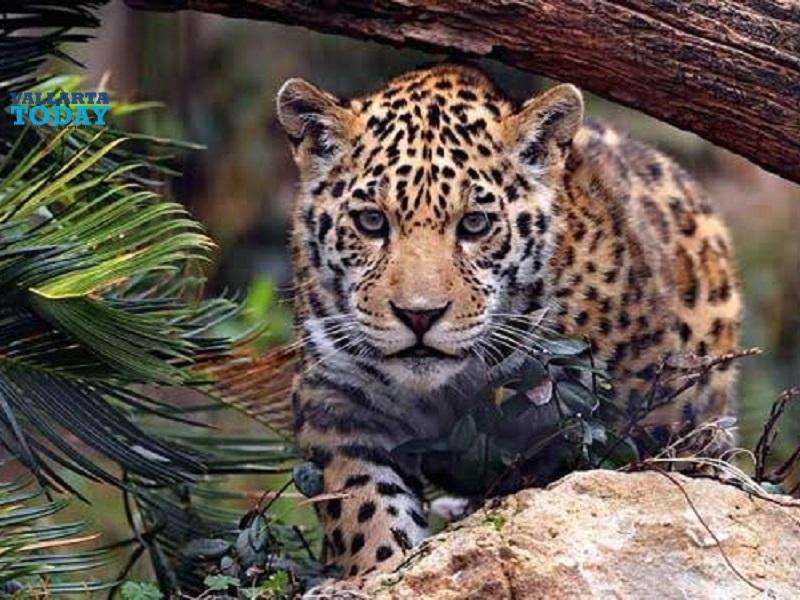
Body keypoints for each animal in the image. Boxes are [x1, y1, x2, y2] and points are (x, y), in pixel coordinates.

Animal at [274, 63, 741, 592]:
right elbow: (362, 501)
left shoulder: (635, 413)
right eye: (372, 221)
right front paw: (377, 572)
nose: (419, 315)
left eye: (476, 225)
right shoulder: (337, 398)